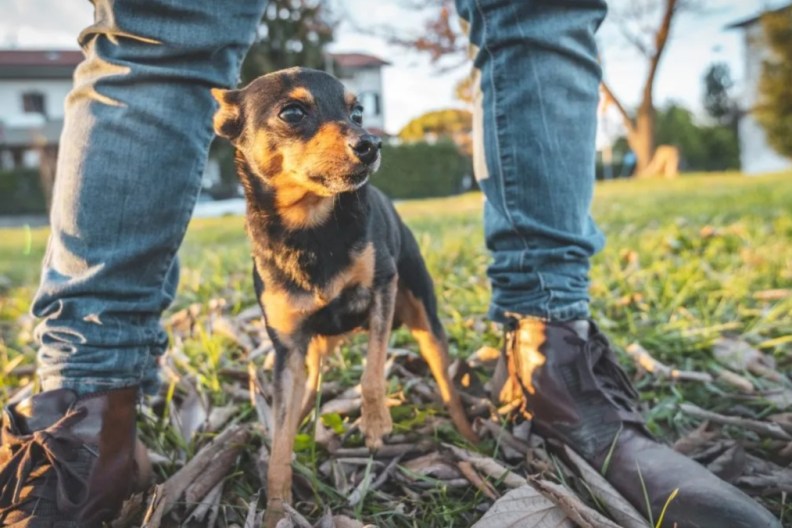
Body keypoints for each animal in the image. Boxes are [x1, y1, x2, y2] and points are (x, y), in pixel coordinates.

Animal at [210, 69, 476, 524]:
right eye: (292, 112)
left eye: (358, 111)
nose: (371, 143)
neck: (309, 228)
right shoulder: (287, 350)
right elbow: (280, 443)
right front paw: (276, 509)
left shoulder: (382, 291)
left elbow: (371, 373)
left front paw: (375, 423)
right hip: (313, 351)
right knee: (306, 388)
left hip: (424, 321)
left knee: (446, 384)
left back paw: (471, 440)